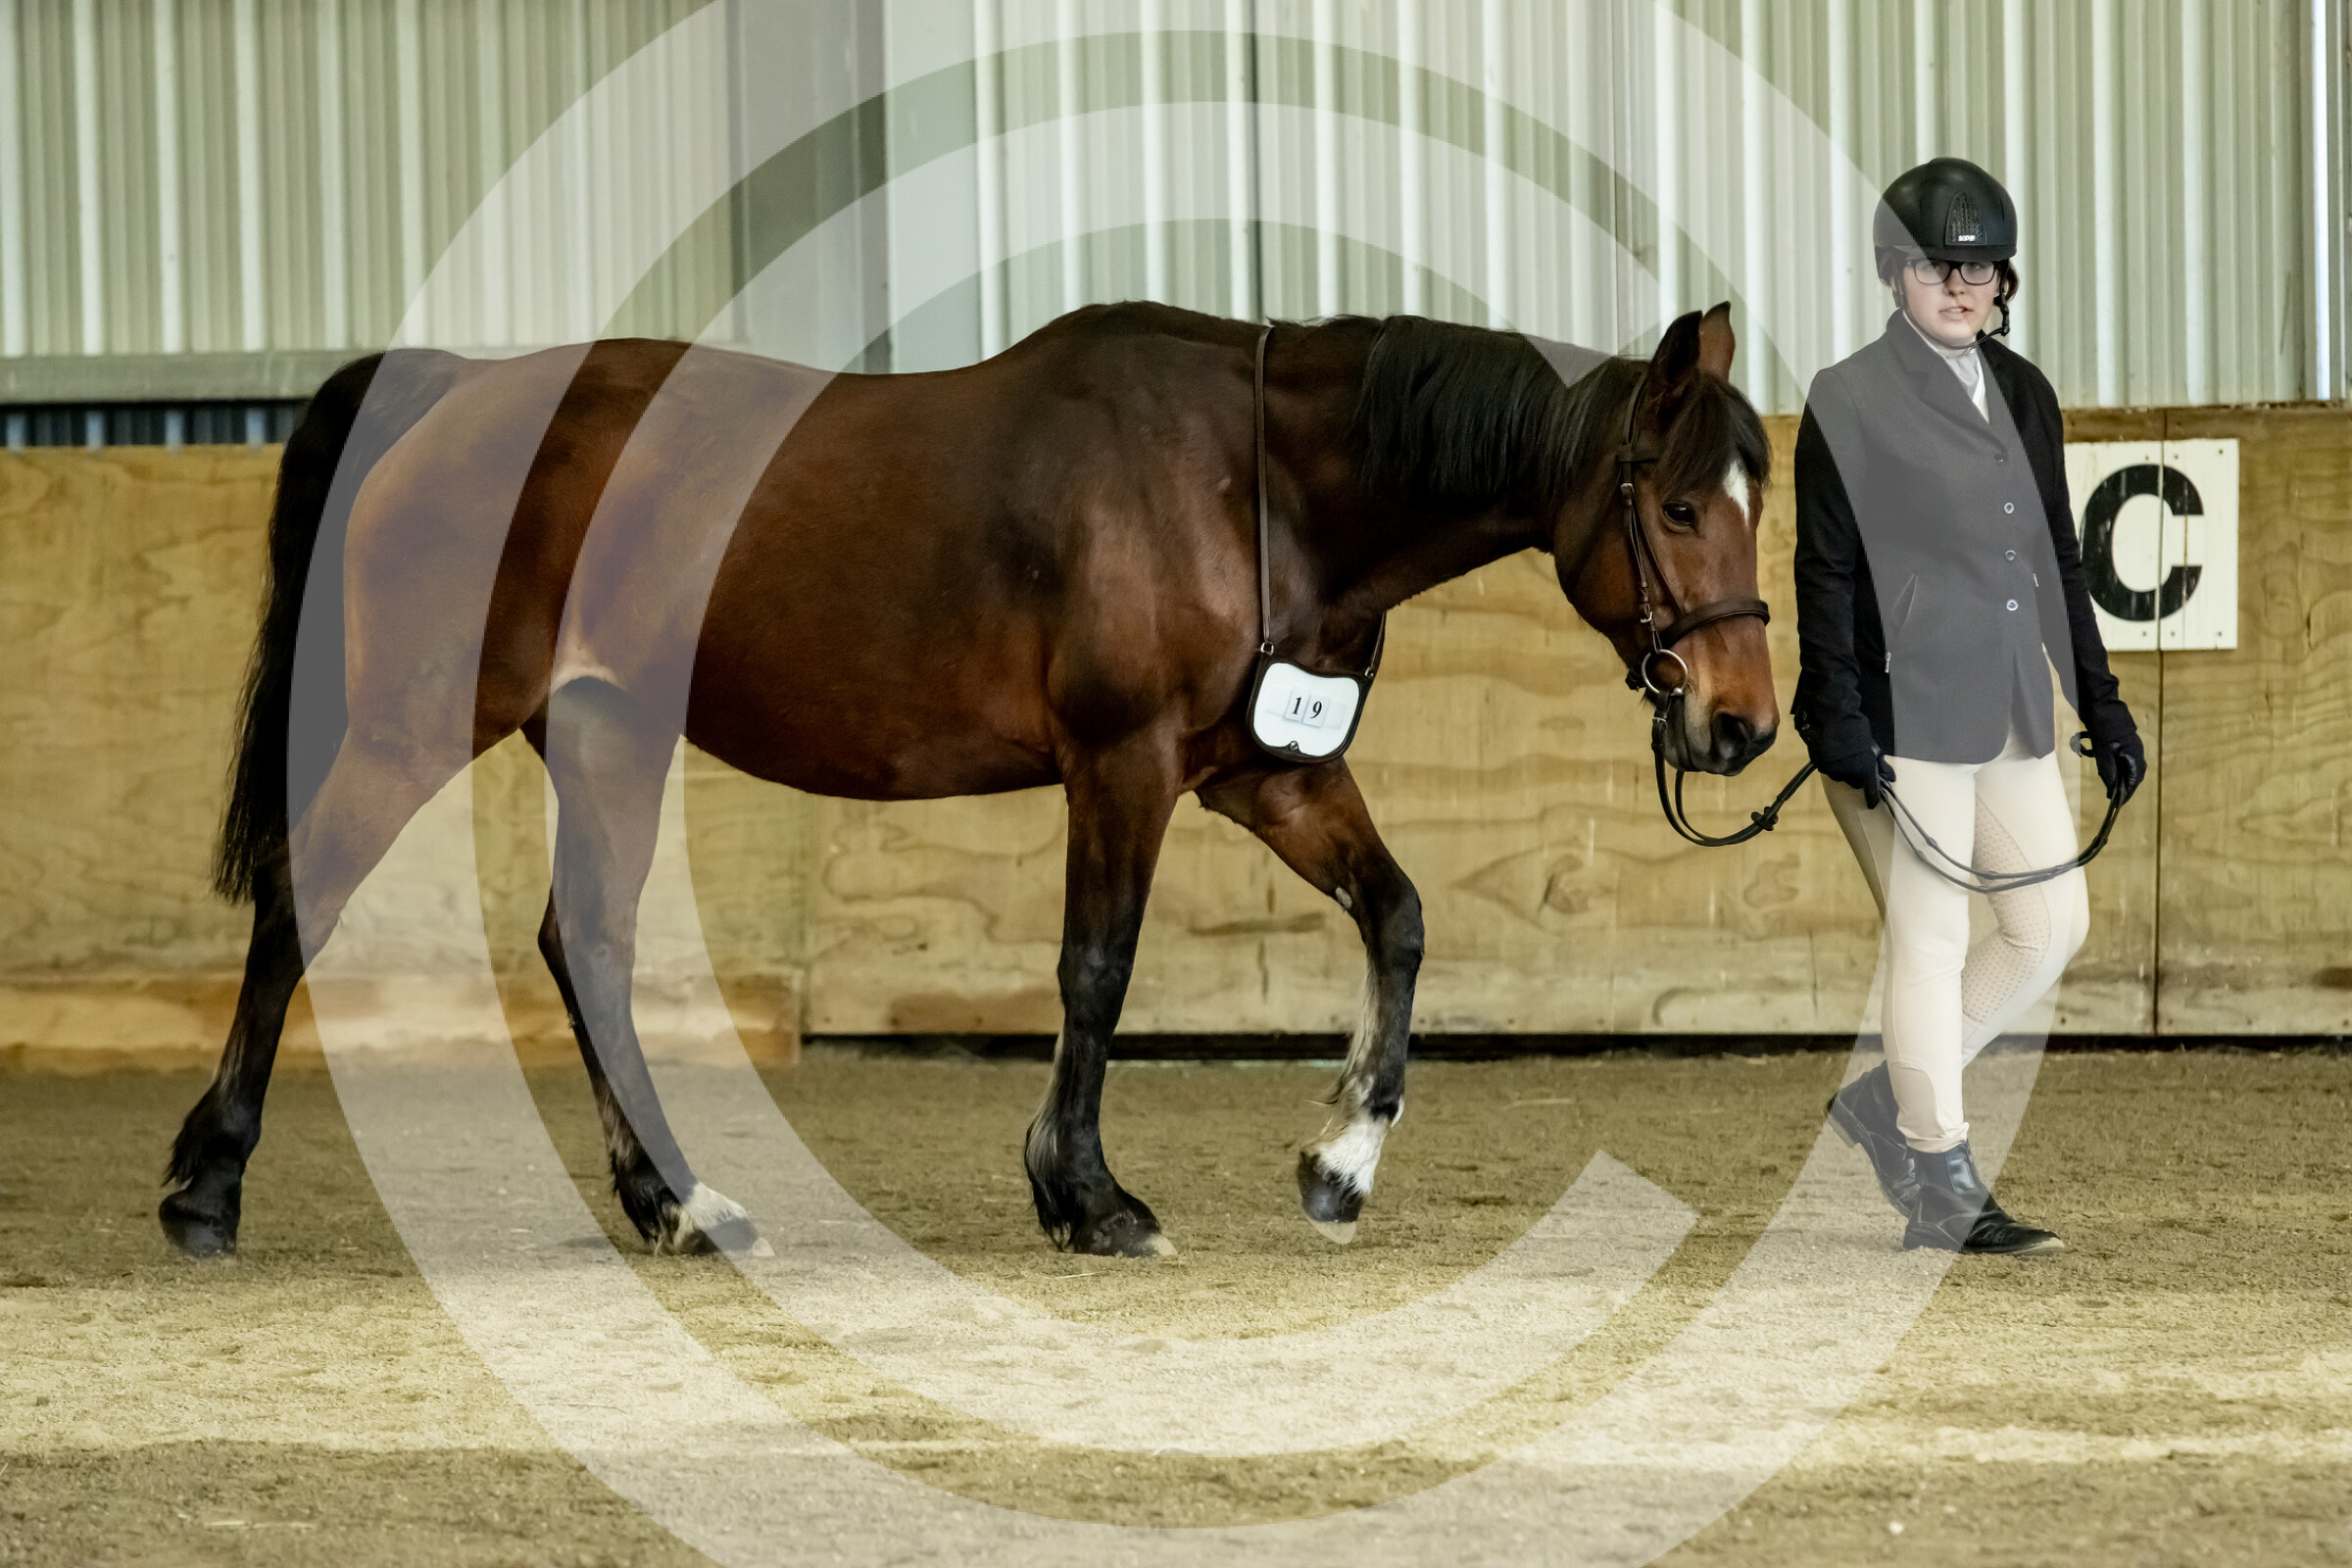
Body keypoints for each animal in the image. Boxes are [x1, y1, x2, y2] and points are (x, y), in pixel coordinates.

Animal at [161, 299, 1776, 1261]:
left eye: (1757, 502)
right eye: (1676, 505)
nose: (1744, 726)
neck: (1249, 482)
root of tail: (445, 392)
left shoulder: (1263, 774)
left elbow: (1400, 918)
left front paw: (1339, 1165)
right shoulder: (1122, 767)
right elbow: (1095, 972)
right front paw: (1088, 1195)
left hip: (606, 731)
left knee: (588, 947)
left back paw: (680, 1202)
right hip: (421, 719)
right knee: (304, 908)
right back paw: (207, 1187)